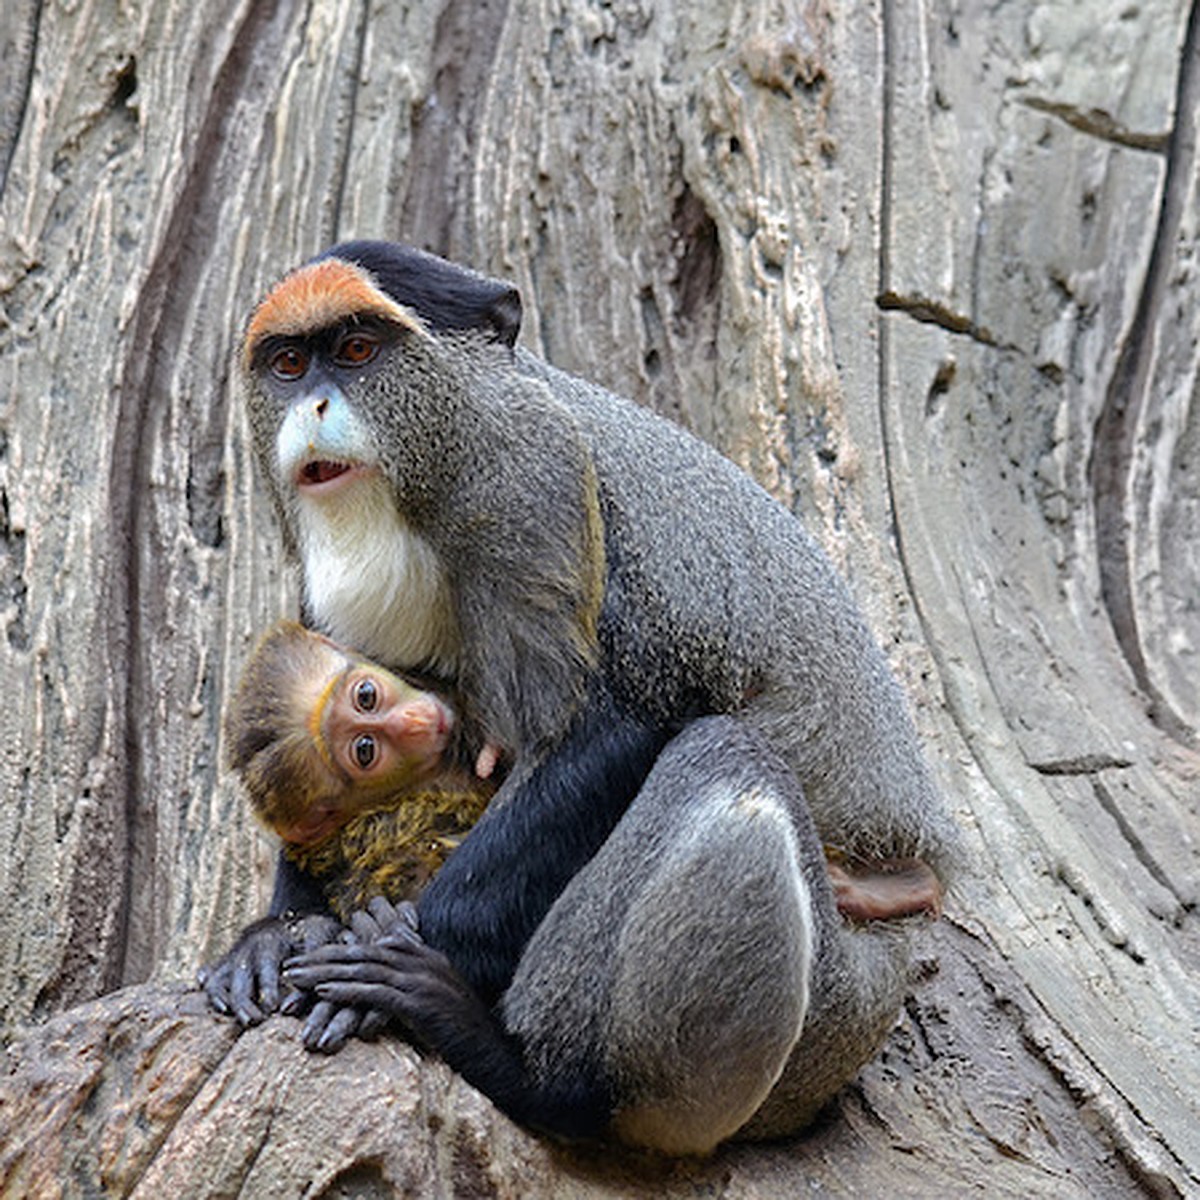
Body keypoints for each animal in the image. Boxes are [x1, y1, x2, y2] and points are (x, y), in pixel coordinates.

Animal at [201, 241, 960, 1152]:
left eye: (356, 351)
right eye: (288, 363)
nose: (313, 404)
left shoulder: (534, 483)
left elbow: (614, 727)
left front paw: (393, 954)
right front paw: (275, 935)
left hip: (829, 1017)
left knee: (727, 765)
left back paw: (531, 1076)